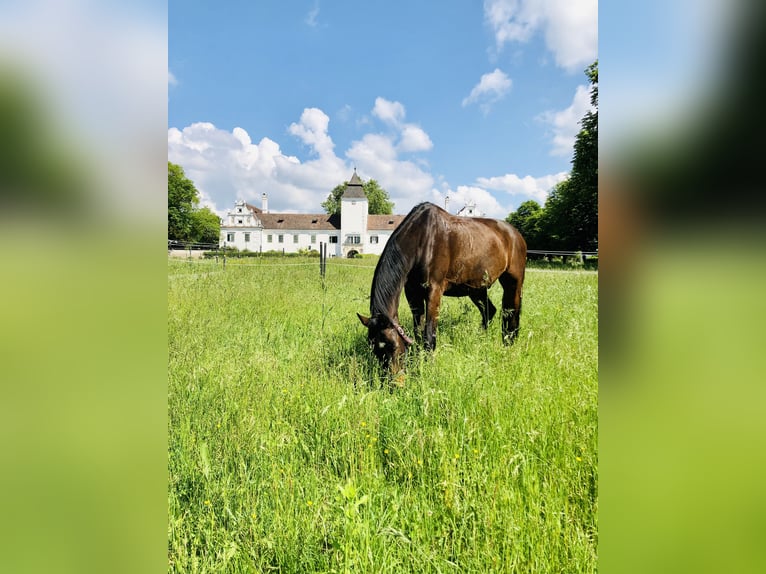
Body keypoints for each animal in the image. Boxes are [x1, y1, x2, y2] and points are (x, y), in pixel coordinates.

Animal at [357, 202, 527, 374]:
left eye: (392, 346)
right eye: (374, 349)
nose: (394, 379)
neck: (423, 238)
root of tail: (515, 234)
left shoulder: (434, 291)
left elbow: (429, 335)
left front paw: (428, 368)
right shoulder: (412, 293)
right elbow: (418, 332)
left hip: (513, 282)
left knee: (511, 312)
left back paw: (508, 344)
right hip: (476, 289)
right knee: (489, 311)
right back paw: (481, 340)